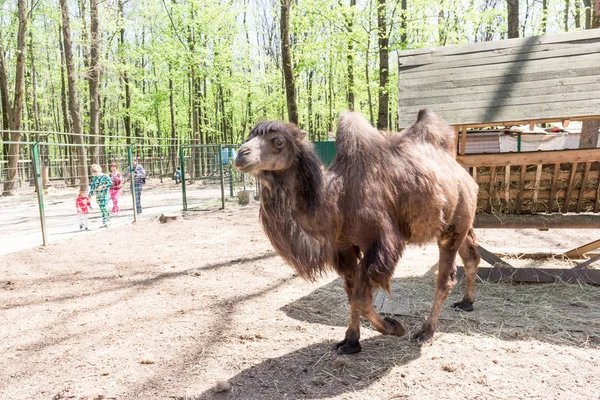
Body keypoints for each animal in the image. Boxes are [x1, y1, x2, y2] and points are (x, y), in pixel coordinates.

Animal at [234, 108, 482, 354]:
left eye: (278, 141)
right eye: (249, 136)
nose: (241, 154)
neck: (337, 198)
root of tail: (465, 176)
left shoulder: (379, 243)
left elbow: (361, 299)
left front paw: (394, 326)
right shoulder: (344, 247)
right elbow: (351, 291)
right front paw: (351, 342)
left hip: (453, 226)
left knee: (444, 278)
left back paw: (426, 332)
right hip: (459, 224)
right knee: (471, 256)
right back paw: (466, 303)